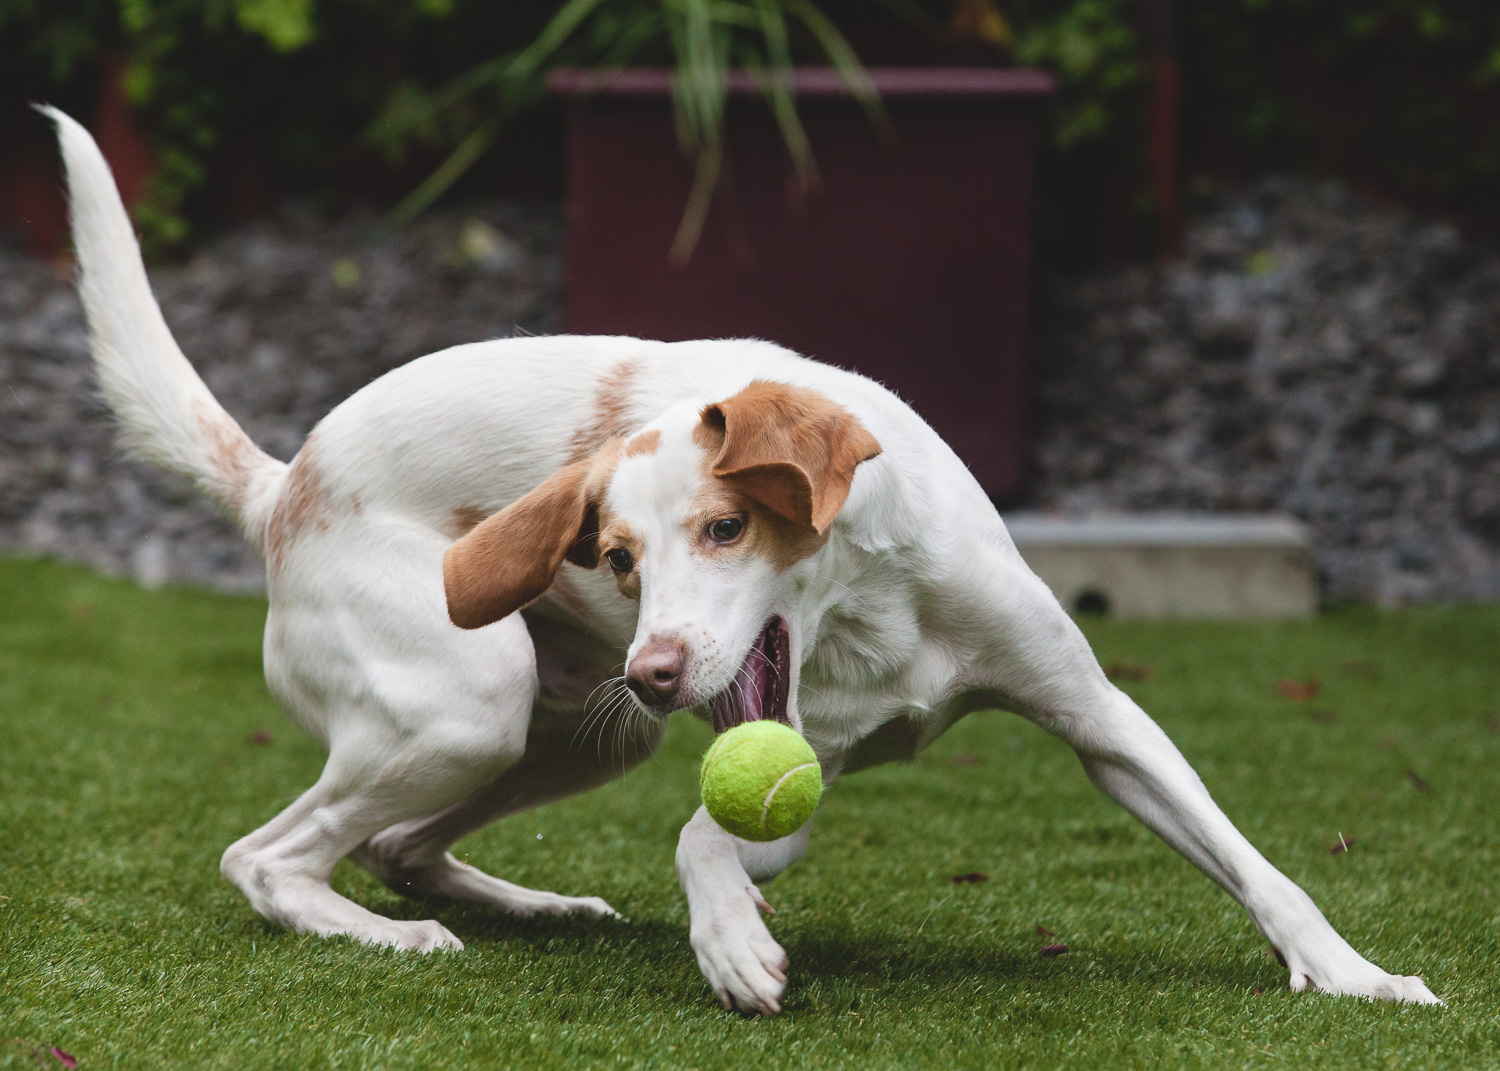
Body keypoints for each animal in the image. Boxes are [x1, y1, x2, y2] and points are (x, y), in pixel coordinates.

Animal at [41, 102, 1434, 1008]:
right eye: (613, 556)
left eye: (725, 528)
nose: (654, 668)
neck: (875, 613)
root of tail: (282, 487)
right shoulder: (779, 755)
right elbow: (706, 835)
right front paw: (731, 943)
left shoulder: (1097, 718)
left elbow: (1258, 866)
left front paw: (1354, 977)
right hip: (474, 704)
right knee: (270, 858)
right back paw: (391, 938)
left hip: (573, 734)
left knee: (395, 845)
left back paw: (535, 908)